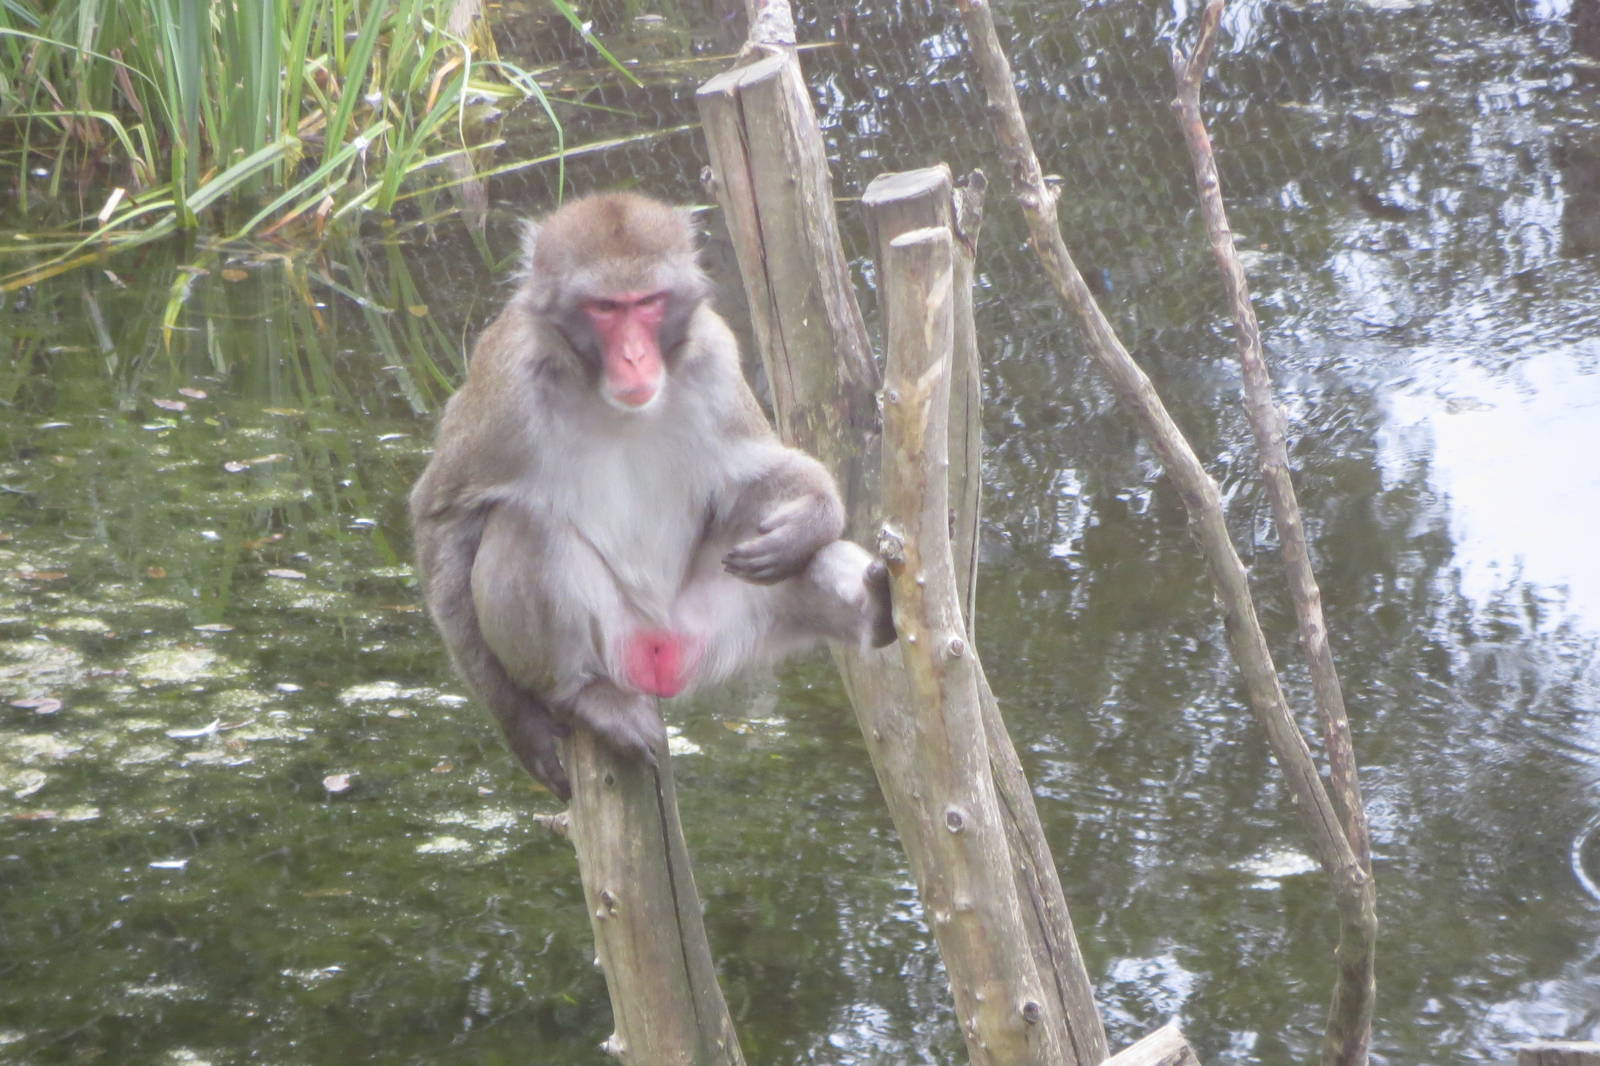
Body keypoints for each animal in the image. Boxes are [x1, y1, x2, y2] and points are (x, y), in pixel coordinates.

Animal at [410, 192, 895, 801]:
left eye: (647, 303)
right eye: (604, 308)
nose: (636, 358)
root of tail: (659, 655)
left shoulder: (714, 357)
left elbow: (754, 471)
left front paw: (812, 517)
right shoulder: (505, 388)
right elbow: (446, 517)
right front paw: (520, 722)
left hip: (714, 626)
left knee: (792, 561)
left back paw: (872, 606)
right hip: (616, 644)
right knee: (525, 525)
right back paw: (583, 695)